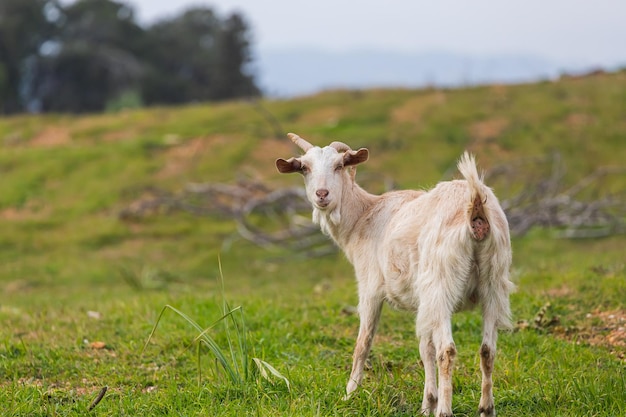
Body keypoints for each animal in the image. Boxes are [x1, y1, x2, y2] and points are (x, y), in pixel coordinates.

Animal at [276, 133, 512, 416]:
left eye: (339, 165)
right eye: (304, 168)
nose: (322, 194)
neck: (363, 217)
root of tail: (476, 206)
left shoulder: (370, 287)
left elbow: (363, 342)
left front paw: (349, 394)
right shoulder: (423, 302)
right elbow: (425, 347)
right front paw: (427, 403)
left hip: (441, 282)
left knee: (447, 350)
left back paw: (445, 410)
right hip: (493, 283)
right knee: (487, 350)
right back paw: (486, 408)